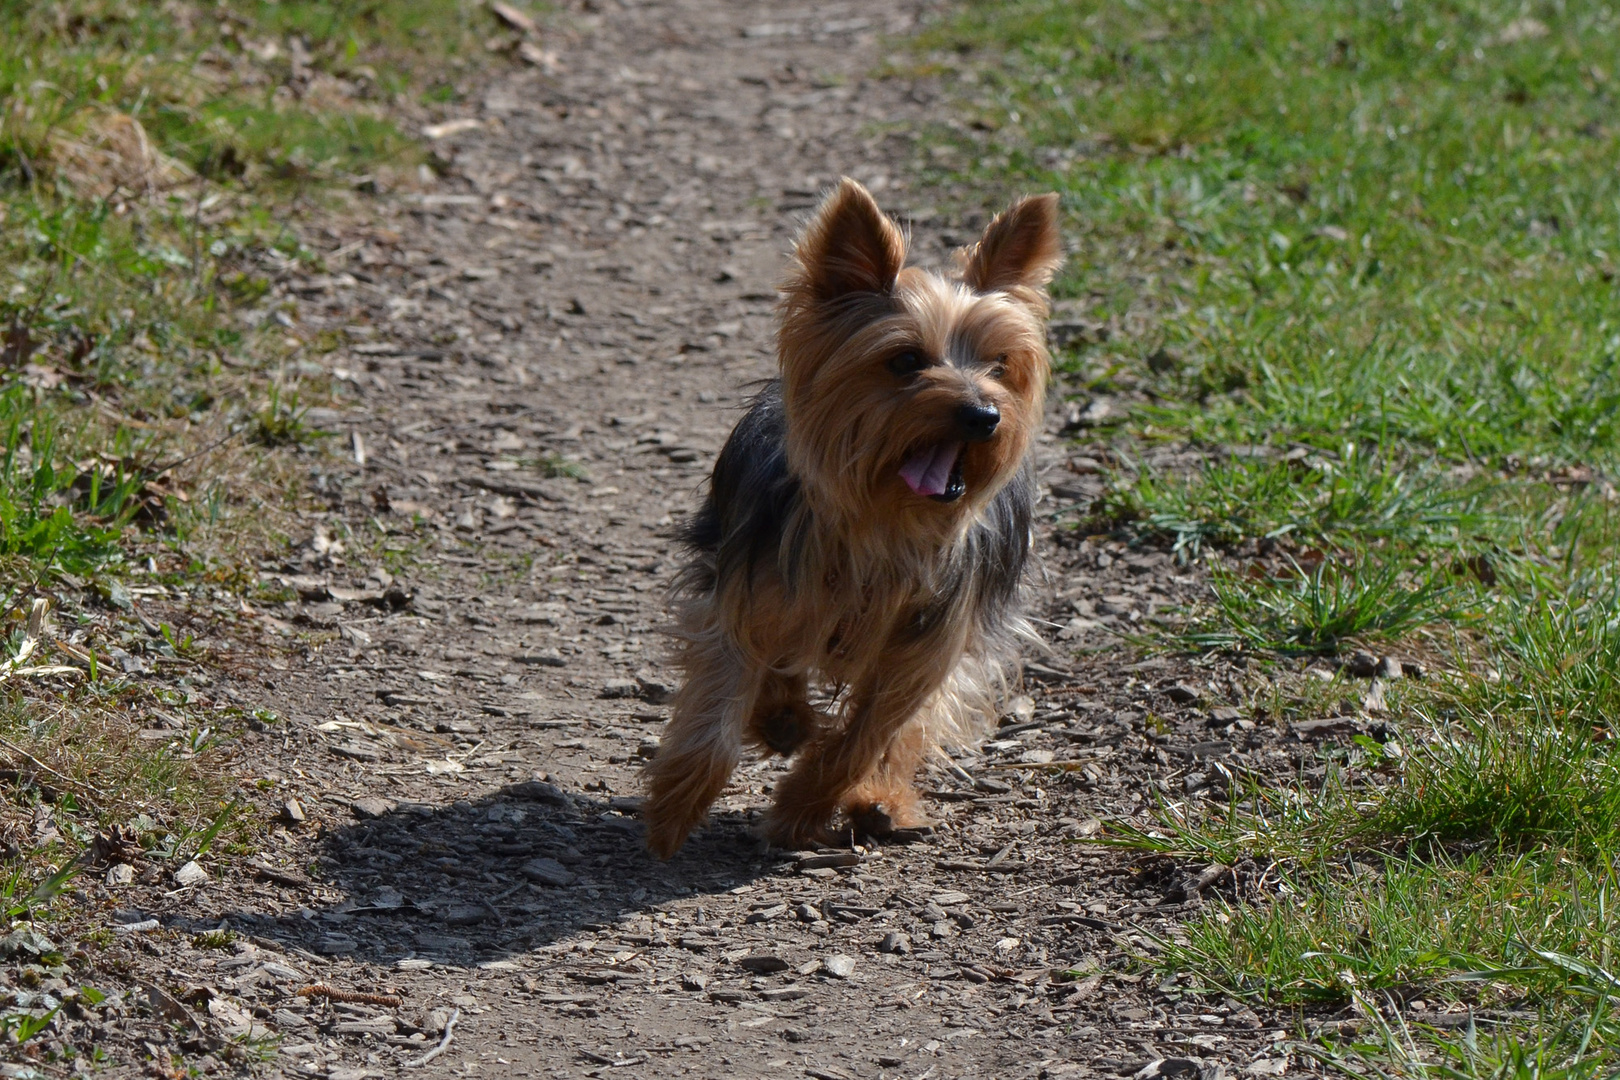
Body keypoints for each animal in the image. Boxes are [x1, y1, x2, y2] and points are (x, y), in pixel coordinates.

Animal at [644, 179, 1062, 861]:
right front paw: (674, 811)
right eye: (906, 361)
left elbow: (871, 731)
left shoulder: (930, 638)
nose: (984, 415)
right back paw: (785, 722)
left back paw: (880, 802)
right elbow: (723, 693)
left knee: (904, 730)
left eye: (999, 364)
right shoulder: (744, 590)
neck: (885, 524)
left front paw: (799, 811)